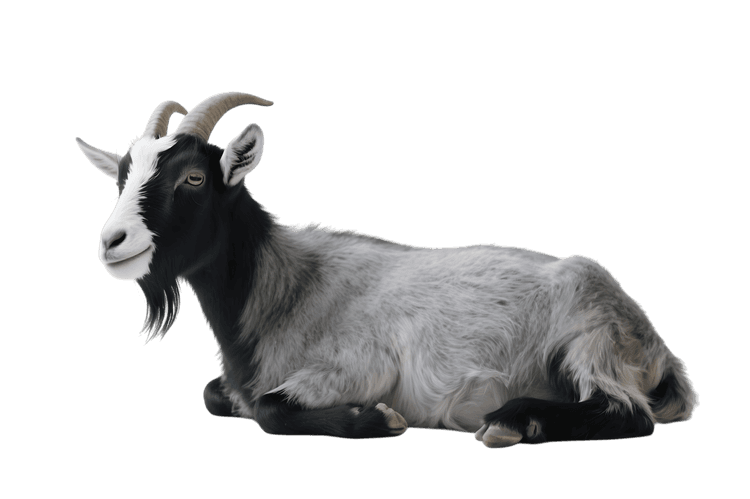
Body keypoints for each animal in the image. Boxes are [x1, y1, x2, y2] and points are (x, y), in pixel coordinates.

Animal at [76, 91, 697, 447]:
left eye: (194, 177)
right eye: (122, 176)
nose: (111, 242)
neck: (286, 287)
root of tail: (656, 345)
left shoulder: (359, 366)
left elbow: (272, 410)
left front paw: (379, 419)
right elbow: (213, 395)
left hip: (587, 344)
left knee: (628, 412)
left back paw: (509, 422)